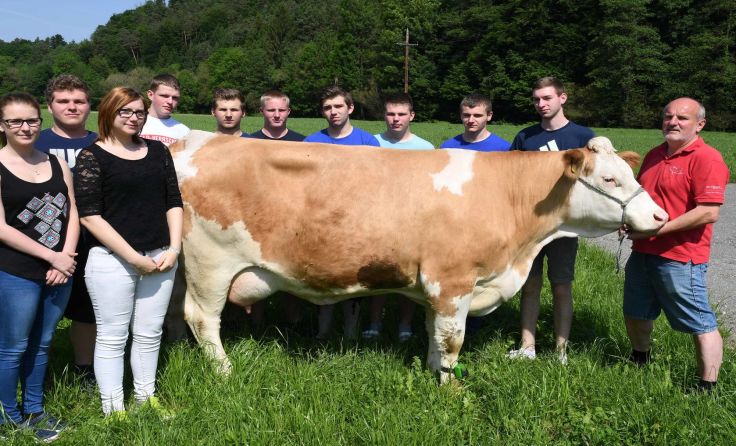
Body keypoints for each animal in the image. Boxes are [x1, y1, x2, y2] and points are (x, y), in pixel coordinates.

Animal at [168, 132, 668, 382]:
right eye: (609, 179)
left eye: (627, 173)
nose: (659, 215)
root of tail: (196, 141)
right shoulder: (453, 280)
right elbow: (452, 340)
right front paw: (448, 387)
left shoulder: (439, 288)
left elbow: (433, 335)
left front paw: (432, 372)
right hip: (211, 263)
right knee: (202, 318)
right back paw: (225, 371)